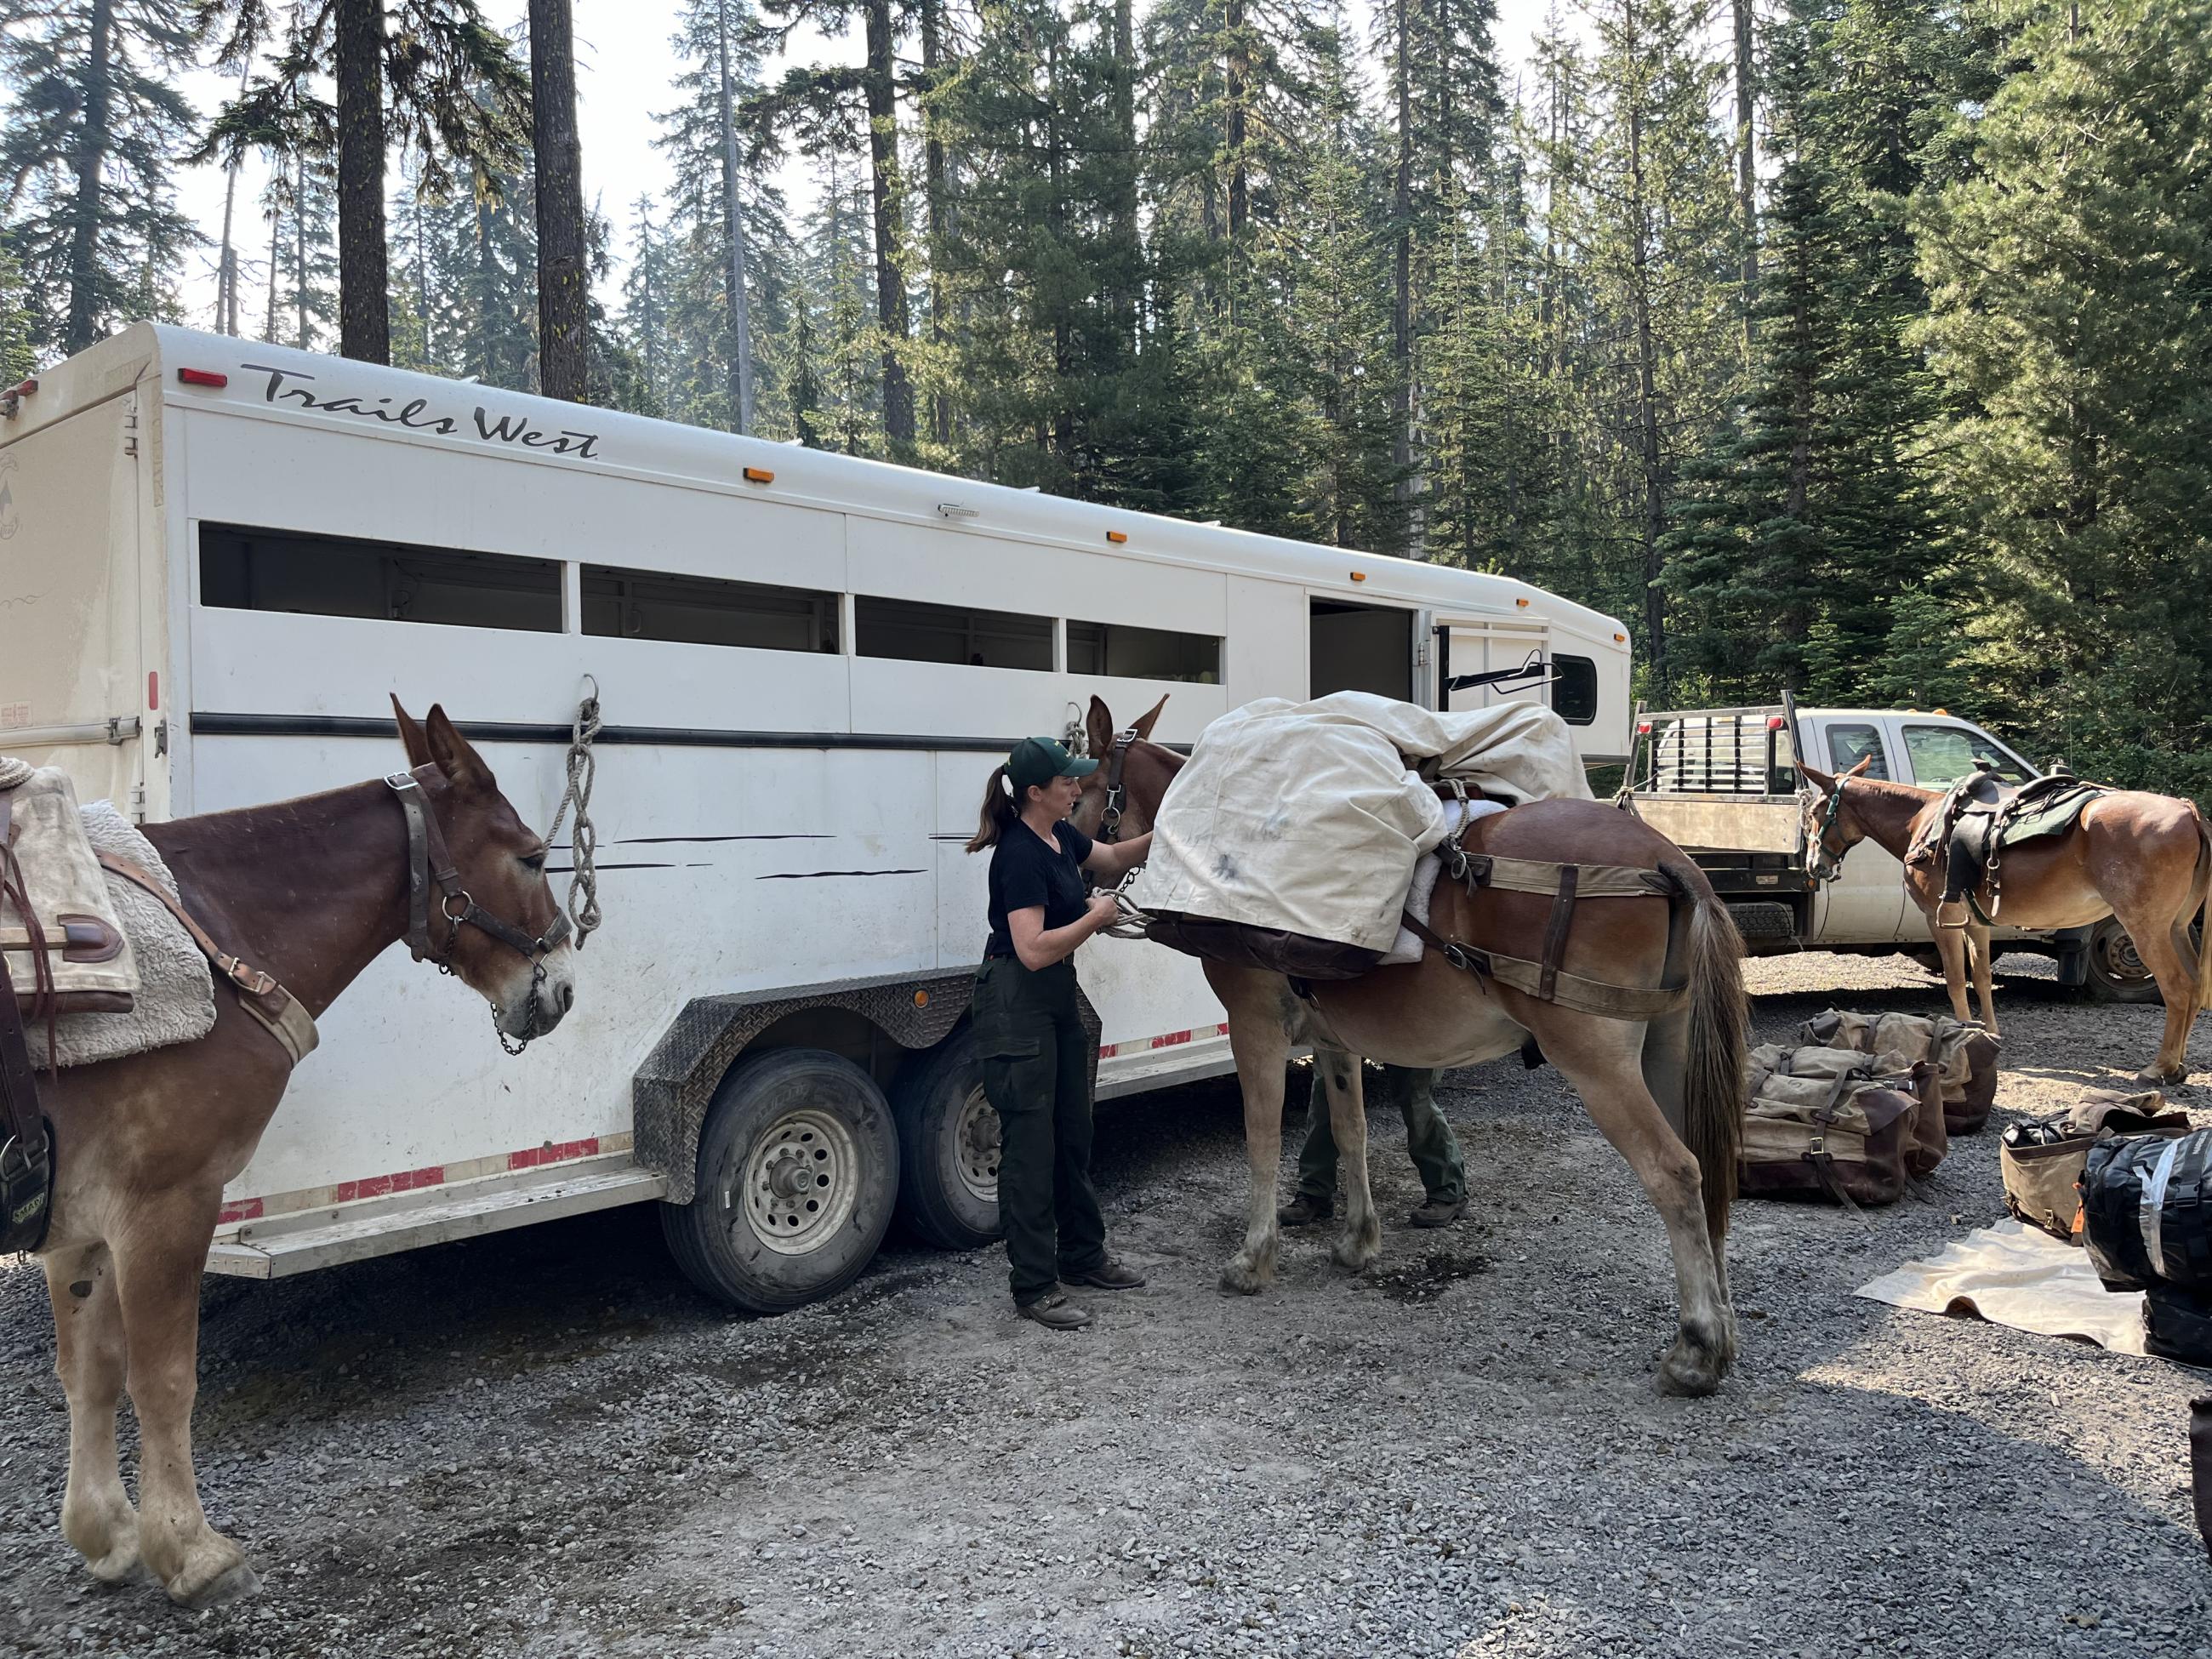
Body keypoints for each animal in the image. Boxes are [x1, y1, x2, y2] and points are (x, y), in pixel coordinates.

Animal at [21, 703, 575, 1610]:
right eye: (530, 855)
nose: (562, 986)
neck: (212, 929)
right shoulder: (166, 1204)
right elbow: (164, 1378)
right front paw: (191, 1551)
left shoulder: (82, 1221)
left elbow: (92, 1372)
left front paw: (107, 1532)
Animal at [1070, 694, 1742, 1398]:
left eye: (1079, 797)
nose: (1076, 862)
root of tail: (1667, 857)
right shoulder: (1335, 1042)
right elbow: (1351, 1131)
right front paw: (1357, 1242)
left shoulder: (1255, 1031)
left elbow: (1262, 1143)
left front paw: (1253, 1259)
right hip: (1668, 1050)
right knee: (1706, 1167)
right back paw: (1721, 1328)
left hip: (1598, 1062)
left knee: (1674, 1172)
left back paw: (1696, 1348)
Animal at [1796, 756, 2212, 1092]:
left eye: (1815, 813)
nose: (1814, 865)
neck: (1923, 825)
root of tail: (2188, 811)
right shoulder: (1975, 923)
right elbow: (1980, 976)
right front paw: (1989, 1033)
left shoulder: (1940, 918)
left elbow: (1954, 978)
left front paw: (1961, 1032)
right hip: (2175, 927)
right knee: (2194, 986)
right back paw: (2178, 1067)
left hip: (2144, 928)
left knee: (2176, 988)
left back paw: (2160, 1068)